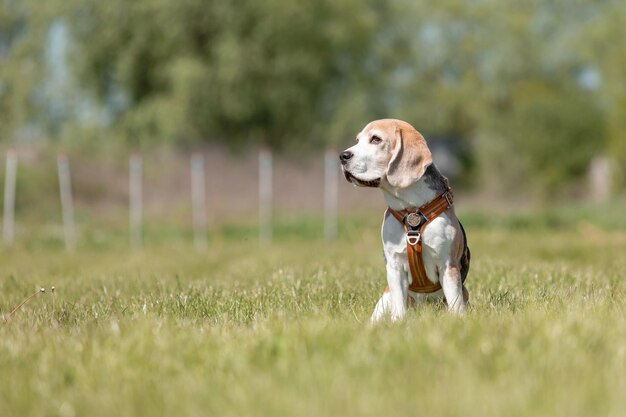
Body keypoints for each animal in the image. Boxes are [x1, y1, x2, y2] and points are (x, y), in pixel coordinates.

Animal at [338, 118, 466, 320]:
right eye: (358, 140)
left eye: (376, 139)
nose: (343, 156)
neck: (412, 209)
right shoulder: (394, 266)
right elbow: (399, 306)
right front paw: (398, 323)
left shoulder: (448, 266)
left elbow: (455, 303)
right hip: (384, 299)